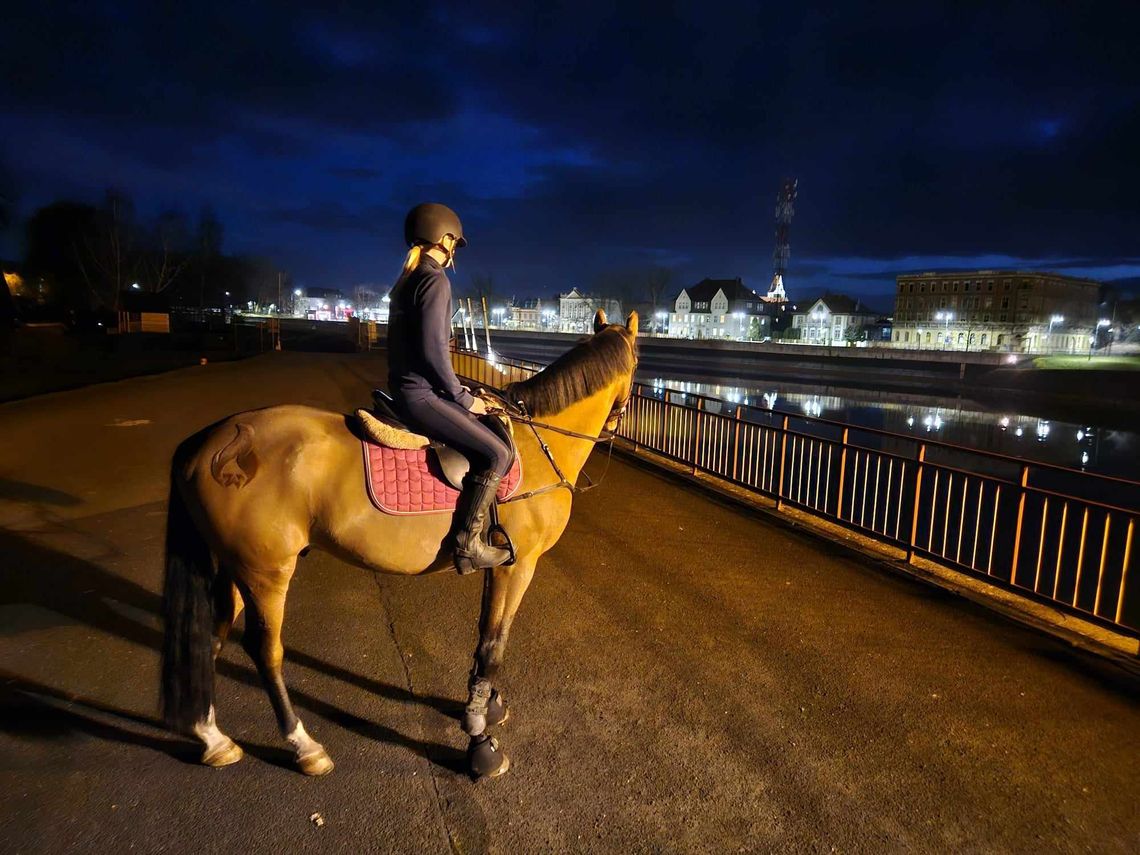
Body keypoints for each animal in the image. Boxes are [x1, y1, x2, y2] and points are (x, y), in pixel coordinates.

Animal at [161, 310, 642, 784]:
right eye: (637, 365)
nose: (617, 424)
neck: (538, 443)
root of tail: (208, 443)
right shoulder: (517, 565)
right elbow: (495, 644)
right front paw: (479, 740)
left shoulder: (496, 565)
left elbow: (484, 635)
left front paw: (484, 705)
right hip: (267, 571)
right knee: (265, 650)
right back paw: (303, 746)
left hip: (236, 567)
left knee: (210, 636)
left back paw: (211, 737)